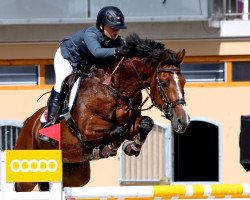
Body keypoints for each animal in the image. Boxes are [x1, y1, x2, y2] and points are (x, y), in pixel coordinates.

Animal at [14, 33, 189, 191]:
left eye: (184, 82)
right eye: (164, 83)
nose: (183, 121)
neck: (116, 89)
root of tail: (29, 123)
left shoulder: (133, 121)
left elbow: (146, 123)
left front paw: (131, 147)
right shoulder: (88, 126)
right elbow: (118, 130)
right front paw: (109, 147)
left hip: (75, 174)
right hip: (26, 175)